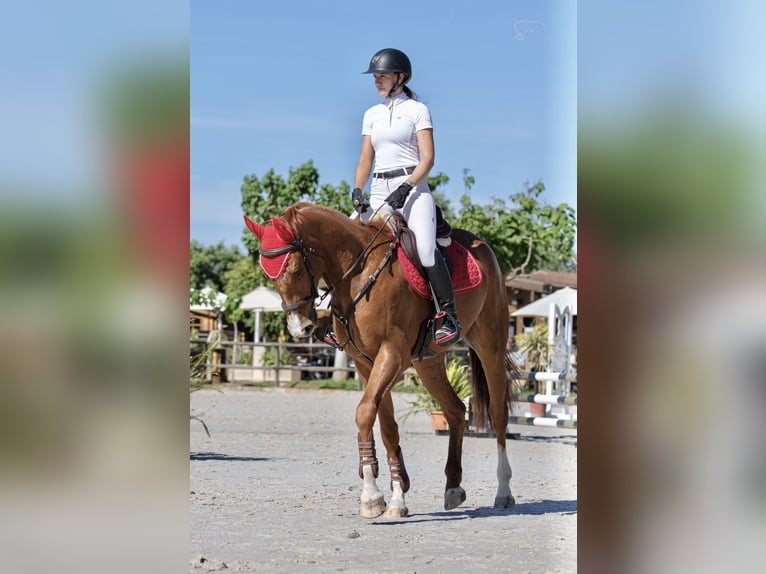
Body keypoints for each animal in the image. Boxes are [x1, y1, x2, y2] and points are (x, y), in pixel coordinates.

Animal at [246, 205, 516, 520]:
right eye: (270, 278)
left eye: (297, 270)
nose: (299, 328)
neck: (358, 274)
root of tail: (483, 247)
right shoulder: (366, 362)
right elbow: (387, 426)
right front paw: (396, 496)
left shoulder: (392, 355)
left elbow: (364, 413)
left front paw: (372, 496)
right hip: (428, 362)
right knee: (456, 411)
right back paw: (453, 488)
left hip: (489, 346)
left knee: (497, 413)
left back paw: (504, 491)